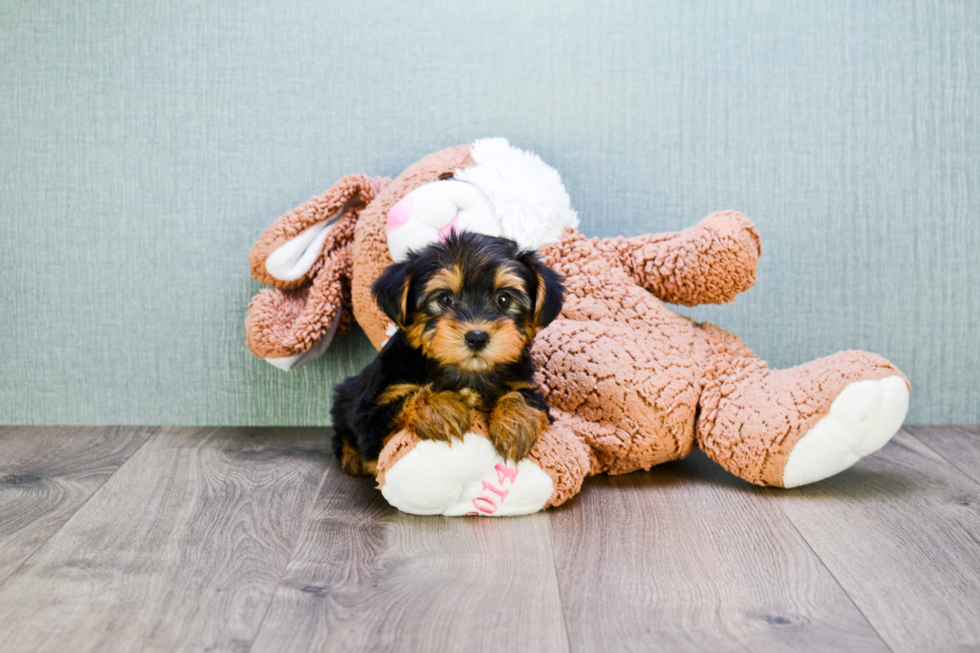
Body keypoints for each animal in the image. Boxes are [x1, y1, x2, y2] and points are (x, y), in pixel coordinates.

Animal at [330, 232, 564, 476]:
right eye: (444, 299)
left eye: (503, 299)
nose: (477, 337)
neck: (466, 372)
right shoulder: (371, 418)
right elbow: (403, 400)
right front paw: (441, 408)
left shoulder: (527, 386)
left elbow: (523, 396)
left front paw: (516, 425)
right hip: (346, 397)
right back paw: (350, 457)